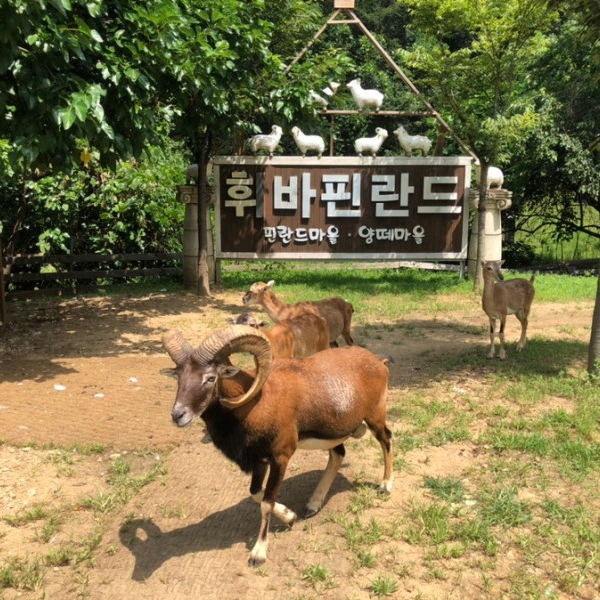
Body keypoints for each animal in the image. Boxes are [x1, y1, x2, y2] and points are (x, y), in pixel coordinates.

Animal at [162, 325, 393, 566]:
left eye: (210, 378)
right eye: (178, 377)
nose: (178, 415)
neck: (255, 404)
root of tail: (378, 362)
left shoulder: (280, 457)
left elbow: (266, 502)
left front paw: (259, 553)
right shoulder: (259, 461)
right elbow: (256, 493)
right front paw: (290, 517)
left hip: (375, 417)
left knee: (386, 439)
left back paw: (385, 485)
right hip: (333, 434)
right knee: (338, 455)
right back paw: (312, 505)